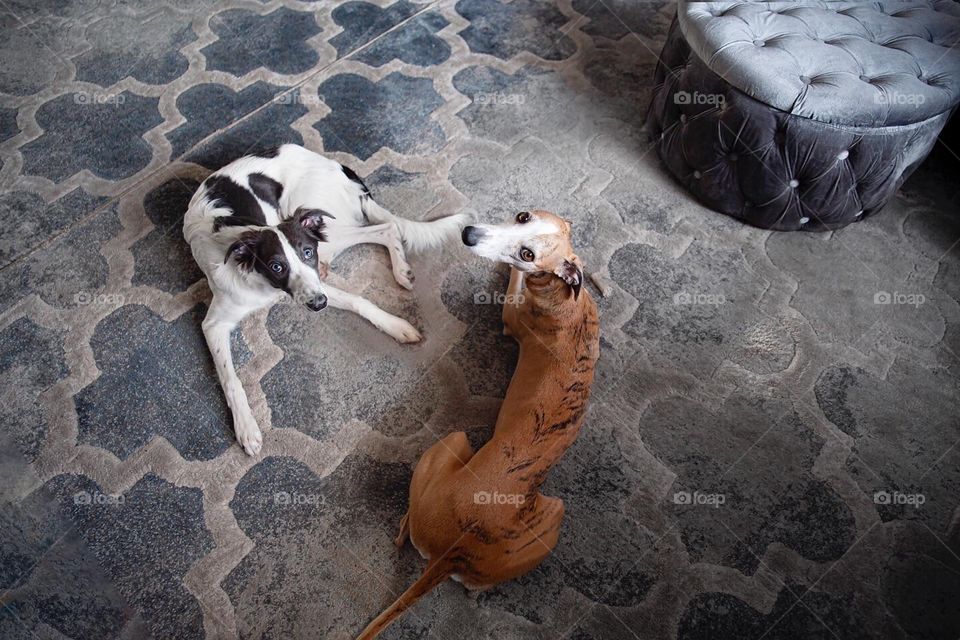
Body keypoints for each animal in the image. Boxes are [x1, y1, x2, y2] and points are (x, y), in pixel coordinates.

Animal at [185, 145, 468, 456]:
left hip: (319, 225)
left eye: (307, 252)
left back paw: (398, 270)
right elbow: (230, 378)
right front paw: (246, 427)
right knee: (387, 228)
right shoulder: (216, 324)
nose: (319, 305)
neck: (263, 284)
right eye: (276, 266)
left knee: (387, 228)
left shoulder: (312, 284)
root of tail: (337, 166)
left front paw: (397, 326)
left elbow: (359, 300)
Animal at [360, 212, 600, 636]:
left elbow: (513, 282)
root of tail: (452, 554)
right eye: (522, 216)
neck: (562, 296)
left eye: (527, 253)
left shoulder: (511, 313)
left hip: (458, 446)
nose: (469, 234)